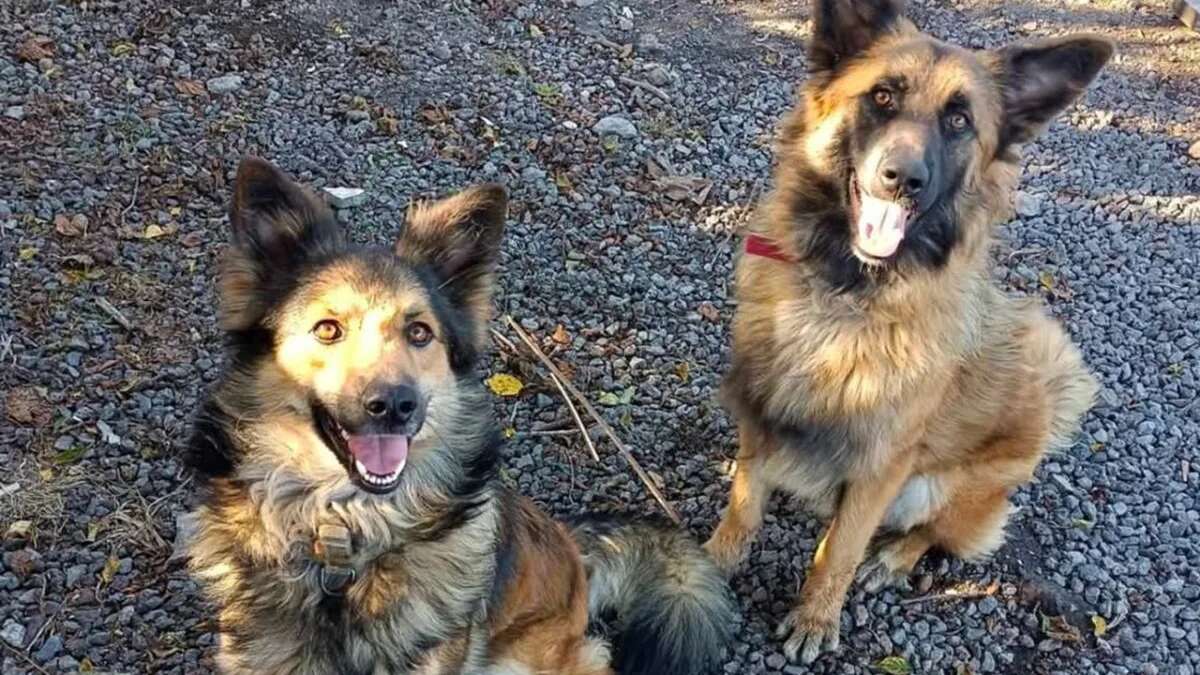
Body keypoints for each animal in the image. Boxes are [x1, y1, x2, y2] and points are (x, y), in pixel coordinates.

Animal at [705, 0, 1108, 662]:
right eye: (883, 96)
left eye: (959, 120)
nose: (902, 177)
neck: (845, 293)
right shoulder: (761, 409)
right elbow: (744, 505)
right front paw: (710, 565)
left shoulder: (881, 465)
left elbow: (839, 549)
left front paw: (816, 617)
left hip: (944, 486)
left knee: (935, 532)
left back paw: (893, 558)